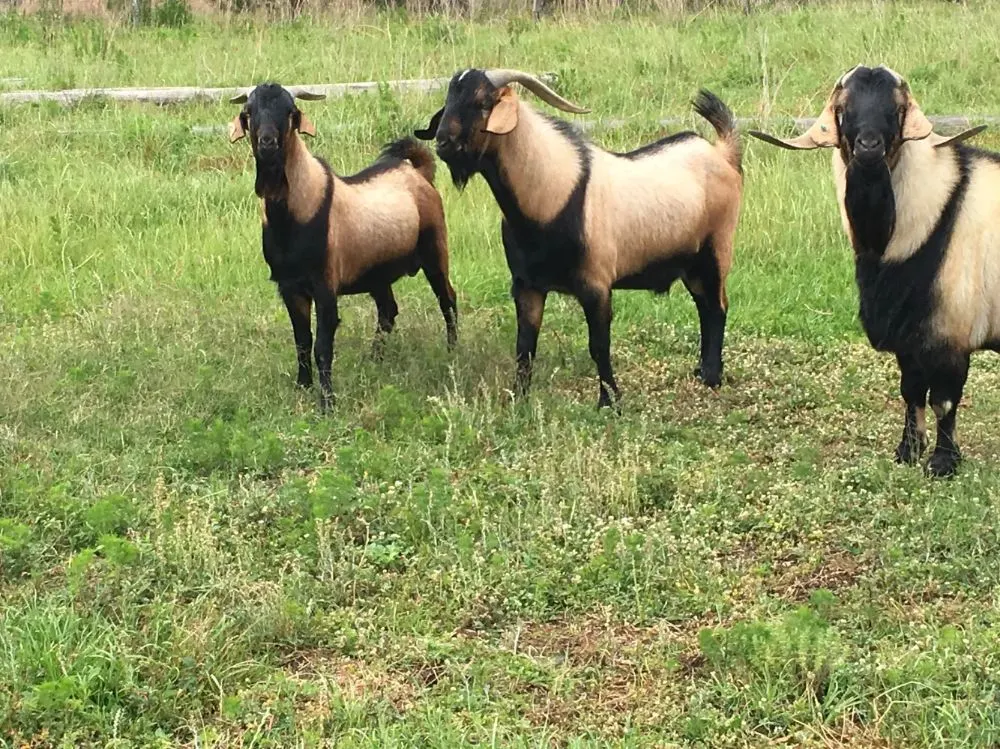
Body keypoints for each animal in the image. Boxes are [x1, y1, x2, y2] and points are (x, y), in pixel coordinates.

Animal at [229, 83, 458, 411]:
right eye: (248, 112)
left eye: (291, 112)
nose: (268, 143)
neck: (295, 212)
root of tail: (418, 172)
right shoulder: (289, 286)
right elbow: (302, 341)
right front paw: (302, 386)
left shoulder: (325, 285)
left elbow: (322, 346)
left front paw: (327, 402)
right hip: (377, 272)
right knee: (388, 310)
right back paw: (374, 359)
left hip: (434, 248)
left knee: (447, 299)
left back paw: (452, 351)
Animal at [415, 69, 743, 409]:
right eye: (449, 99)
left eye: (482, 102)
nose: (443, 142)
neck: (555, 194)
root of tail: (722, 153)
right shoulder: (527, 285)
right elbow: (525, 345)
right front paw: (519, 398)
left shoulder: (596, 285)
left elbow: (598, 345)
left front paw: (609, 402)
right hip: (691, 265)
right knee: (704, 305)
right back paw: (703, 371)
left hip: (716, 249)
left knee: (717, 306)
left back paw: (711, 378)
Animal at [749, 65, 992, 477]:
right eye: (843, 110)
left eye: (897, 110)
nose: (868, 147)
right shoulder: (909, 338)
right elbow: (912, 392)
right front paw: (907, 451)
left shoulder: (951, 333)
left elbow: (944, 400)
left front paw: (943, 463)